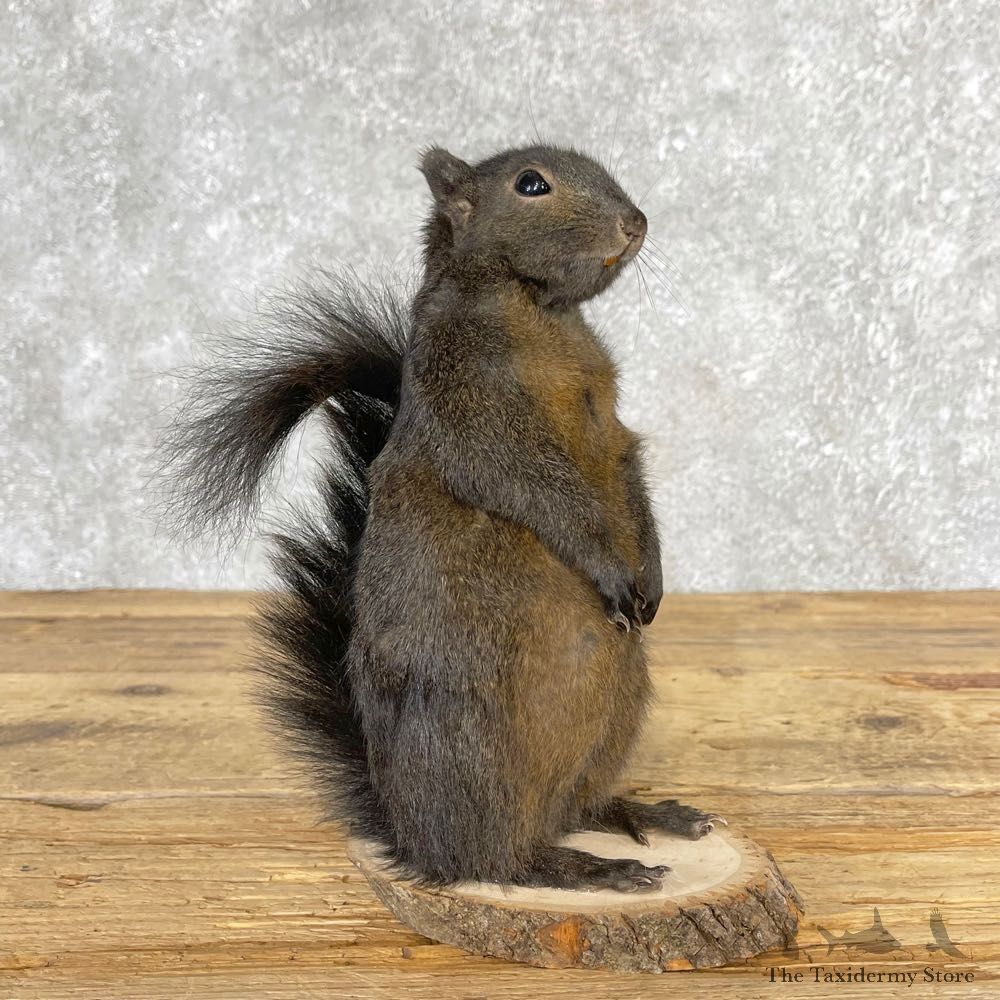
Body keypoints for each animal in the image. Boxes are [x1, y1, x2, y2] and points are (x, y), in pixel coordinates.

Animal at [165, 143, 725, 893]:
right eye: (530, 185)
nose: (634, 223)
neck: (537, 308)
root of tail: (409, 835)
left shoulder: (609, 425)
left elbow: (627, 467)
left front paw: (653, 577)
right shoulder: (476, 411)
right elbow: (546, 494)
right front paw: (611, 570)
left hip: (616, 715)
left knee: (579, 808)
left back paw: (647, 814)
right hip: (473, 748)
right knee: (496, 860)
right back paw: (582, 867)